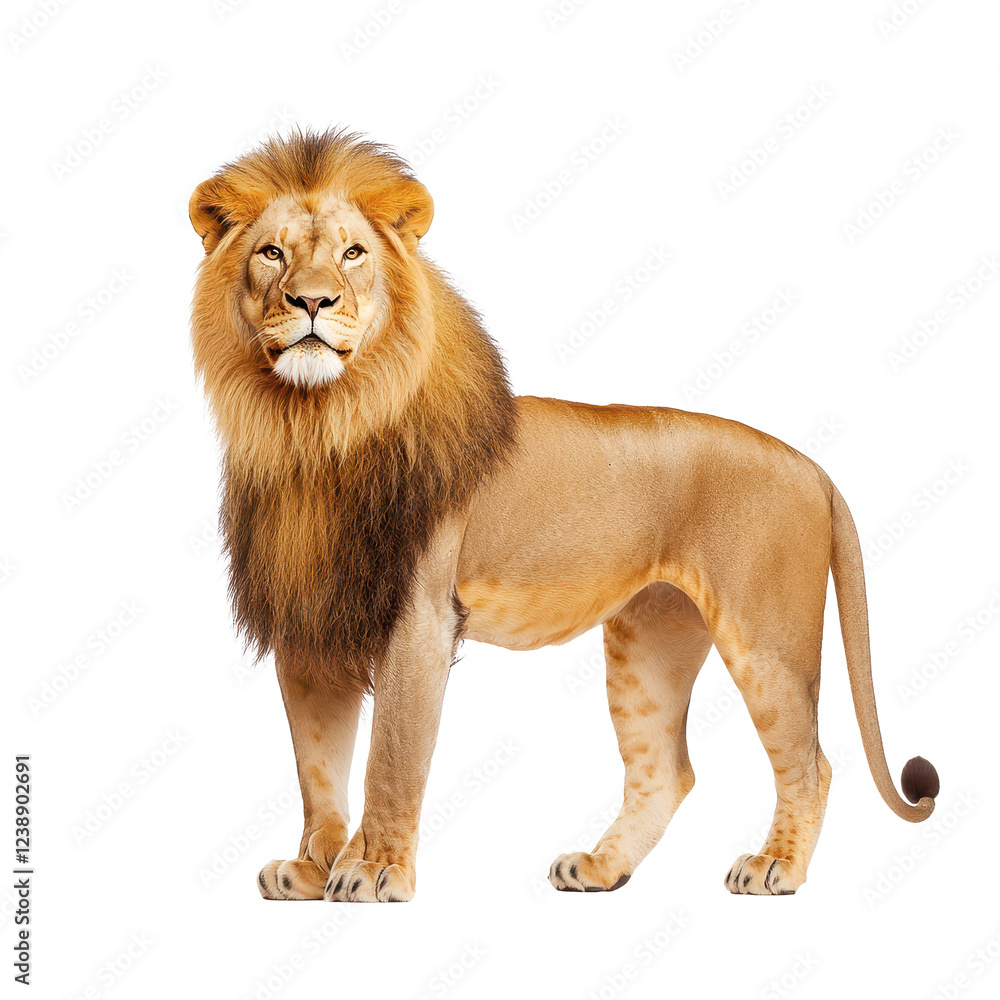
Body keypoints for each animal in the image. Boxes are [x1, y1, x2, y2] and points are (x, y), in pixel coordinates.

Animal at [189, 129, 939, 902]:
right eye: (271, 253)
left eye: (352, 254)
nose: (312, 300)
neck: (314, 428)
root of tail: (814, 467)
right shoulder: (306, 616)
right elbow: (317, 762)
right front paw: (313, 868)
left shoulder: (420, 614)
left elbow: (391, 758)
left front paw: (372, 870)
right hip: (651, 637)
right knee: (666, 770)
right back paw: (602, 868)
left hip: (767, 636)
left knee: (810, 762)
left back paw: (775, 867)